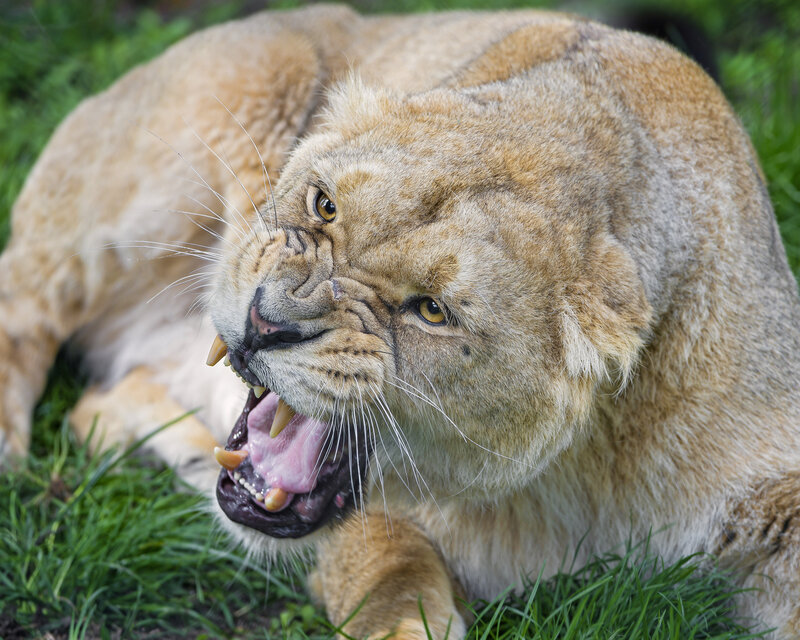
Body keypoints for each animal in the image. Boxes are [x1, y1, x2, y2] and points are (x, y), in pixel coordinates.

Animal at [2, 5, 799, 638]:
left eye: (431, 310)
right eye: (324, 205)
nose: (265, 321)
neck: (578, 473)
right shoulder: (384, 532)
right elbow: (391, 573)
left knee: (100, 399)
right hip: (232, 92)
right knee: (23, 295)